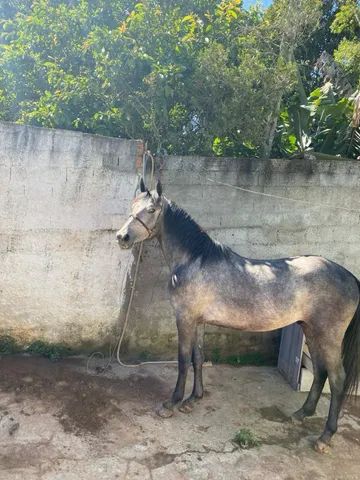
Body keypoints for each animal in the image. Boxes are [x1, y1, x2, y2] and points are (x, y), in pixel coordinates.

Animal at [116, 178, 358, 452]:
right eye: (133, 206)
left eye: (151, 210)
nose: (122, 237)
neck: (195, 260)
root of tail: (350, 277)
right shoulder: (198, 321)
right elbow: (198, 358)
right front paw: (193, 399)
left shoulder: (185, 319)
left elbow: (183, 360)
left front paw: (172, 403)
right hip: (311, 330)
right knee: (320, 372)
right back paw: (302, 413)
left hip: (328, 336)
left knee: (337, 379)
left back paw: (325, 437)